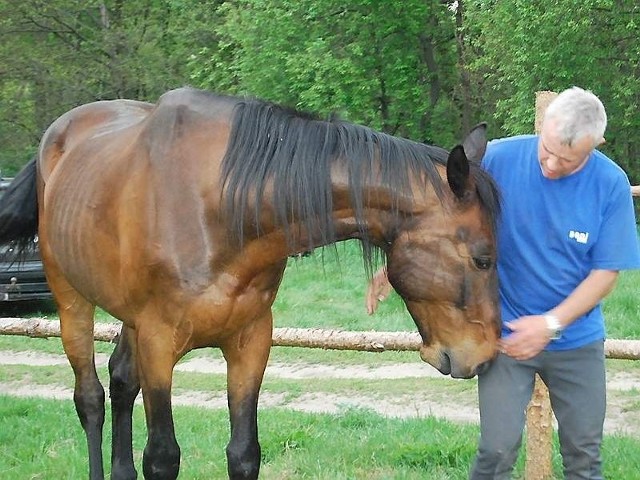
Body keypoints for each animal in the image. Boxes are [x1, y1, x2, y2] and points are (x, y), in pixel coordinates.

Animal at [0, 87, 500, 480]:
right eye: (483, 258)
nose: (483, 355)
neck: (222, 208)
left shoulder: (251, 339)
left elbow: (243, 454)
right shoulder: (159, 343)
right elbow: (162, 457)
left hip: (129, 318)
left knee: (122, 382)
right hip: (72, 300)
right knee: (90, 398)